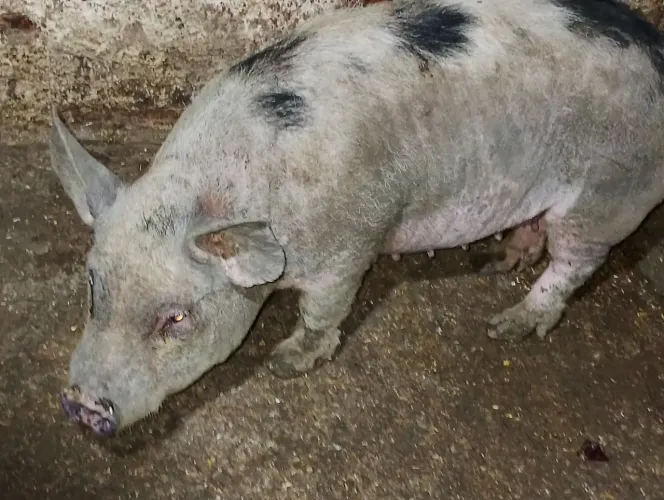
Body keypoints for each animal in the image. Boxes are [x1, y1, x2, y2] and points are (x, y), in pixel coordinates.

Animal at [53, 0, 664, 436]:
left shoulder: (350, 244)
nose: (82, 403)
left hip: (609, 190)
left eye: (176, 318)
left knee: (576, 264)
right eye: (92, 287)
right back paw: (495, 259)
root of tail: (657, 47)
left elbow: (323, 310)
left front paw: (284, 363)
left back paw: (507, 325)